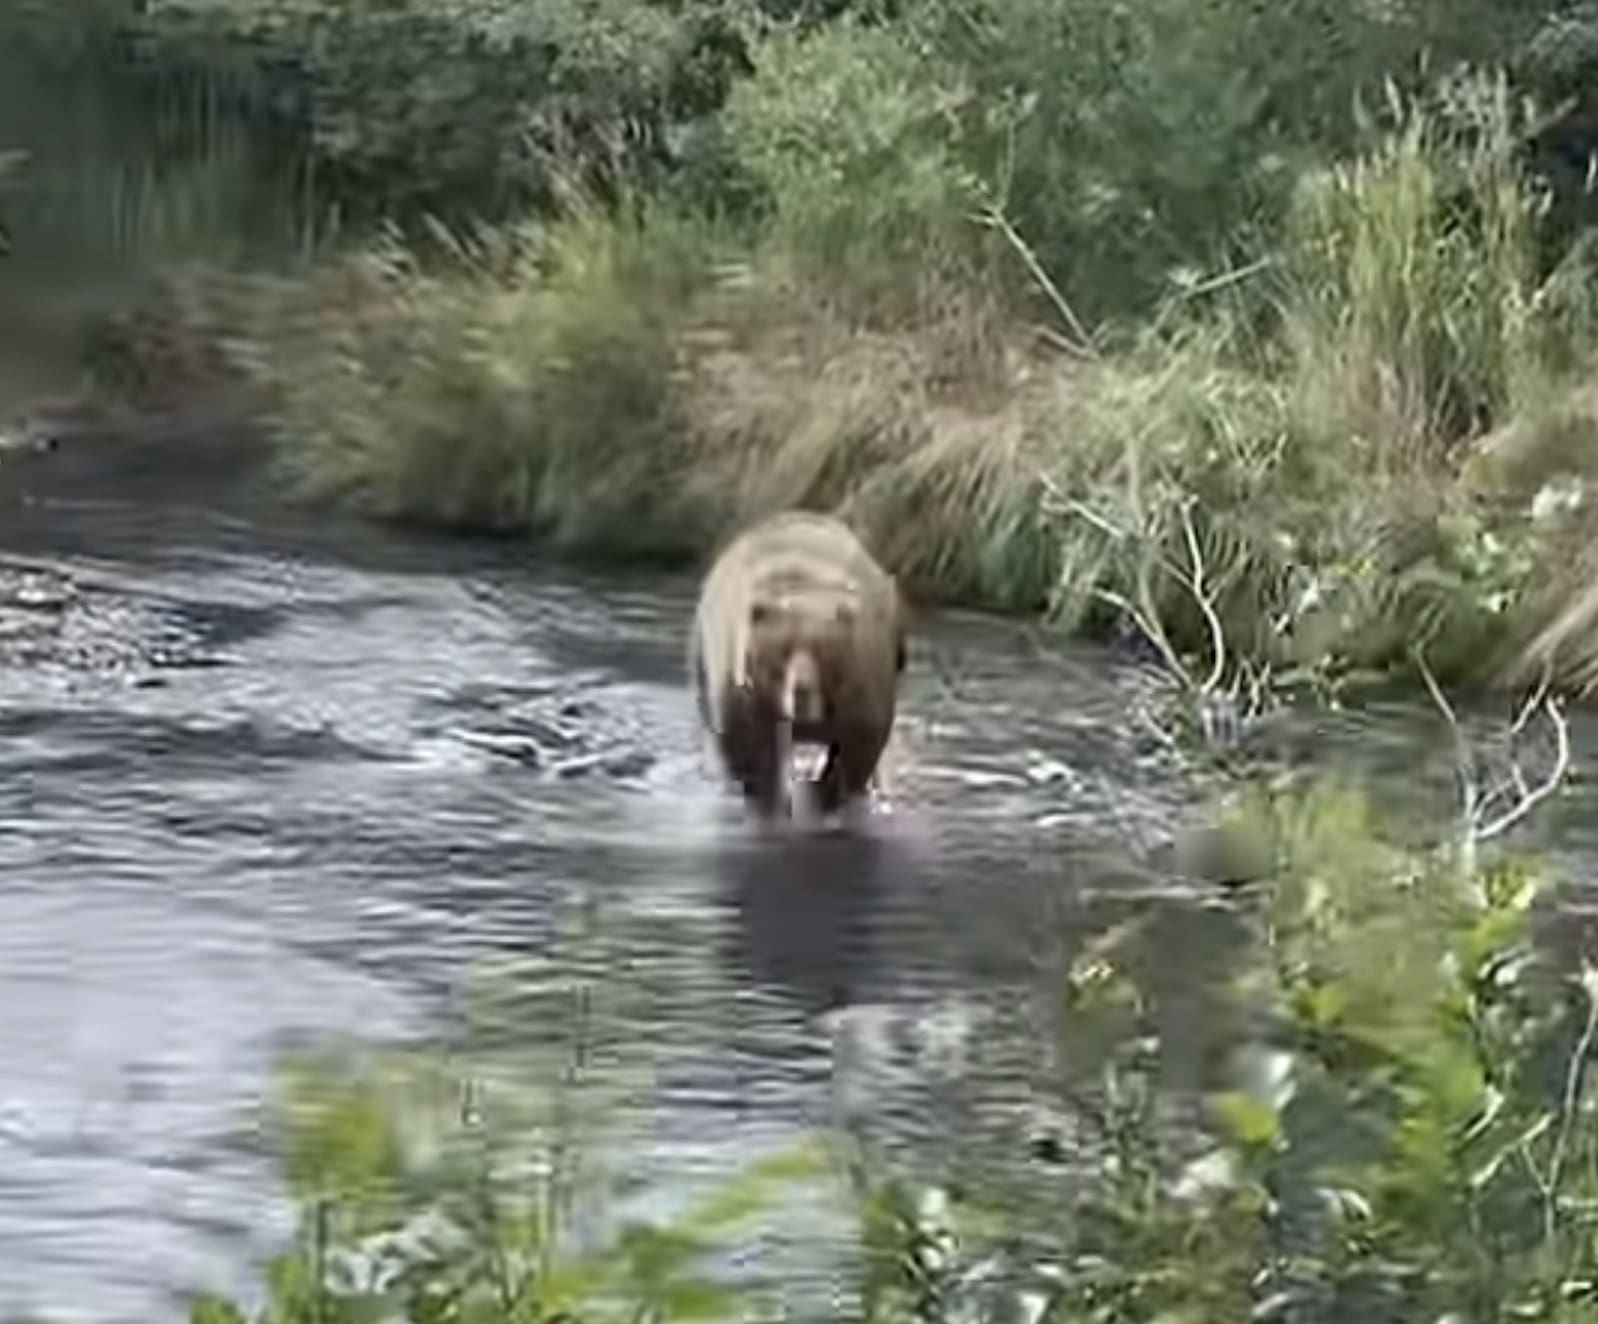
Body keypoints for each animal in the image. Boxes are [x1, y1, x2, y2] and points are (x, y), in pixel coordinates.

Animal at [689, 510, 908, 820]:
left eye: (823, 655)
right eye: (779, 657)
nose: (801, 696)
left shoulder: (863, 681)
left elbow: (858, 748)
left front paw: (828, 797)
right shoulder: (744, 686)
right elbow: (749, 748)